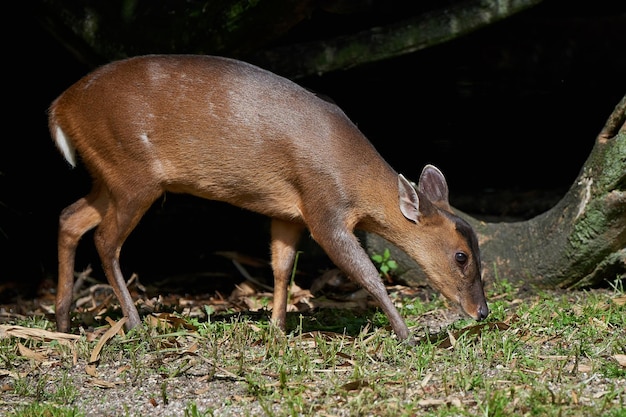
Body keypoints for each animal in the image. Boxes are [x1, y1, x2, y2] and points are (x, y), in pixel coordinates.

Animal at [50, 54, 488, 338]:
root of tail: (59, 108)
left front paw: (277, 330)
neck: (352, 175)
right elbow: (367, 274)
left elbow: (281, 267)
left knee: (69, 216)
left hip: (108, 175)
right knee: (105, 239)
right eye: (461, 256)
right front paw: (406, 334)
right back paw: (136, 324)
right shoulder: (323, 207)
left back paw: (63, 320)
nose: (481, 311)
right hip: (132, 171)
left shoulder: (289, 212)